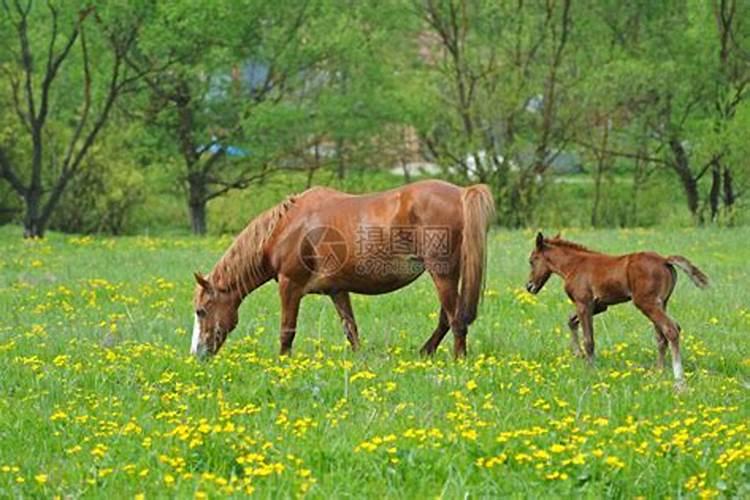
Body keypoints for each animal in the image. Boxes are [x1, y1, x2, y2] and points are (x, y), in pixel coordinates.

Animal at [191, 180, 496, 360]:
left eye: (201, 311)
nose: (198, 354)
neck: (286, 227)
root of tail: (461, 192)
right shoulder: (337, 291)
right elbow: (351, 330)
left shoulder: (290, 284)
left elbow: (287, 330)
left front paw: (283, 364)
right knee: (447, 318)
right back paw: (426, 352)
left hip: (442, 274)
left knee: (455, 319)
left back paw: (457, 359)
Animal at [528, 232, 712, 384]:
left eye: (532, 260)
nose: (529, 286)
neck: (575, 265)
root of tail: (665, 259)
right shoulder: (599, 305)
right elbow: (571, 321)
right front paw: (578, 354)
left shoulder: (583, 303)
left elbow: (589, 339)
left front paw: (590, 370)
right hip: (661, 303)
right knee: (662, 336)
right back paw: (659, 371)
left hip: (647, 303)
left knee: (670, 329)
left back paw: (678, 379)